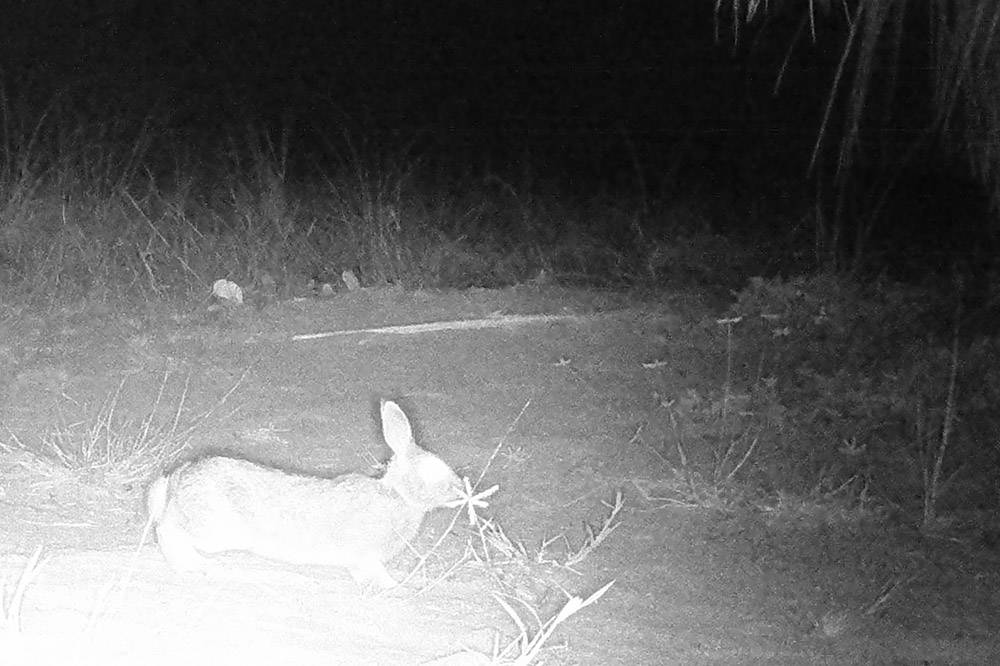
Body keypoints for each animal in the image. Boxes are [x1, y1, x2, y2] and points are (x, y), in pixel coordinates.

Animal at [146, 400, 466, 588]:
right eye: (433, 472)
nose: (461, 490)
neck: (398, 494)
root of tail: (174, 481)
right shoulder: (363, 553)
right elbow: (374, 571)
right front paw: (392, 587)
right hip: (216, 531)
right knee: (167, 529)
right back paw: (193, 566)